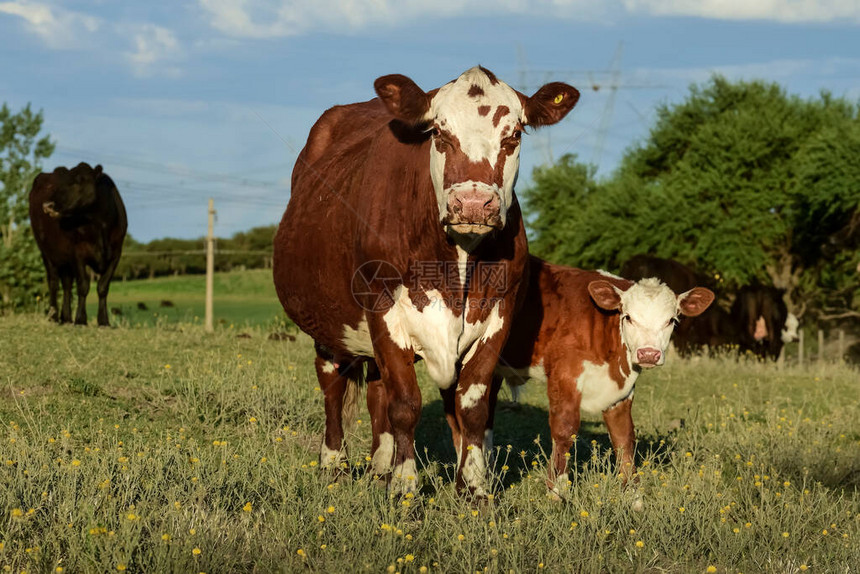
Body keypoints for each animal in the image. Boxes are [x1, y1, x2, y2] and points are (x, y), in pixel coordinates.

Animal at [29, 164, 127, 328]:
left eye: (79, 180)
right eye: (61, 183)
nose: (47, 205)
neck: (100, 225)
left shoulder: (116, 254)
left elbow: (103, 286)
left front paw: (103, 321)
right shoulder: (78, 253)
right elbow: (83, 286)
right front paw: (81, 320)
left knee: (67, 285)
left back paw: (66, 318)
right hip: (46, 252)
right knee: (54, 282)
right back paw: (53, 316)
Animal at [490, 258, 712, 498]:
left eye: (671, 320)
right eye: (628, 317)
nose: (648, 354)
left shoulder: (622, 390)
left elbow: (623, 437)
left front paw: (633, 494)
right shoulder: (564, 376)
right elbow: (564, 430)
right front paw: (557, 490)